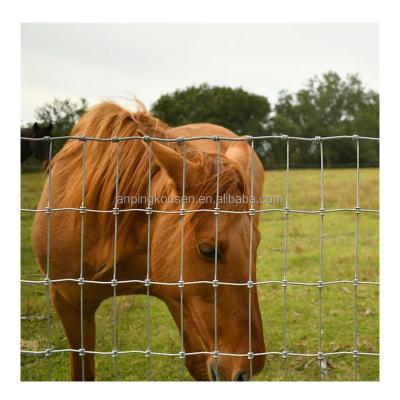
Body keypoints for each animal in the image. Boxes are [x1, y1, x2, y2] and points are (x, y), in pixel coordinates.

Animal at [31, 101, 268, 380]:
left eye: (256, 244)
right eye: (208, 250)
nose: (249, 367)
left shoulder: (178, 296)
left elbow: (197, 364)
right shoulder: (68, 303)